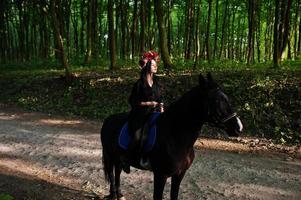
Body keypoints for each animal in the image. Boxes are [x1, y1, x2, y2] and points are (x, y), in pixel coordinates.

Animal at [99, 73, 243, 200]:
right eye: (216, 101)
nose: (239, 127)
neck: (175, 136)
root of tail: (108, 119)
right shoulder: (160, 175)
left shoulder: (179, 175)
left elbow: (174, 195)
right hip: (110, 156)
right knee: (112, 174)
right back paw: (113, 195)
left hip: (118, 158)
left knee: (117, 172)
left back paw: (119, 195)